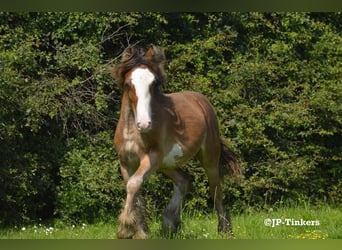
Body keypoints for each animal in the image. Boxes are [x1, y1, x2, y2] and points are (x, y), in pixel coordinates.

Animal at [112, 44, 240, 238]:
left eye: (153, 84)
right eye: (128, 84)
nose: (144, 123)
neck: (132, 132)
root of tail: (201, 100)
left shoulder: (151, 157)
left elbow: (133, 185)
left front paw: (125, 229)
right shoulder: (126, 162)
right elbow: (134, 189)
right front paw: (140, 231)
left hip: (208, 157)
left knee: (215, 189)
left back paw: (224, 229)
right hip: (167, 164)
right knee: (183, 180)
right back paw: (170, 223)